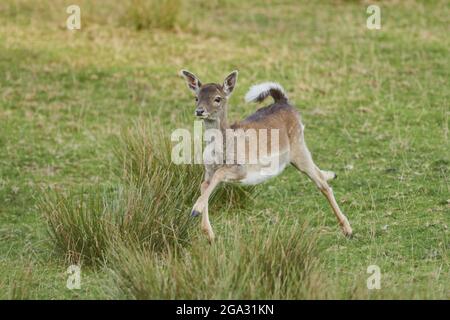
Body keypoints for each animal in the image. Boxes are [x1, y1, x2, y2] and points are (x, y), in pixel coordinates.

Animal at [179, 69, 352, 240]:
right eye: (196, 97)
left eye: (217, 98)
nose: (199, 111)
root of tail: (283, 101)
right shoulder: (208, 170)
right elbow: (204, 185)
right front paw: (209, 233)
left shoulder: (242, 168)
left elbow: (219, 174)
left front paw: (196, 210)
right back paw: (333, 175)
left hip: (298, 146)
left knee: (321, 182)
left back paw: (348, 230)